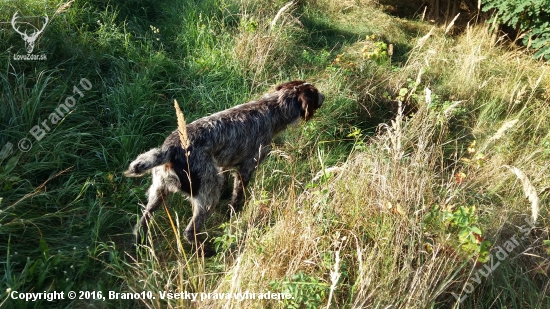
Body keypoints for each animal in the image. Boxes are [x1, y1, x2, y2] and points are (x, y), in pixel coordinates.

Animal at [125, 80, 324, 247]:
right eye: (315, 93)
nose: (324, 96)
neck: (272, 109)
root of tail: (168, 149)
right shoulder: (246, 168)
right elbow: (237, 196)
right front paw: (234, 213)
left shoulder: (224, 164)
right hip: (207, 193)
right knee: (190, 231)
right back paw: (206, 250)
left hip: (158, 192)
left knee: (142, 222)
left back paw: (138, 243)